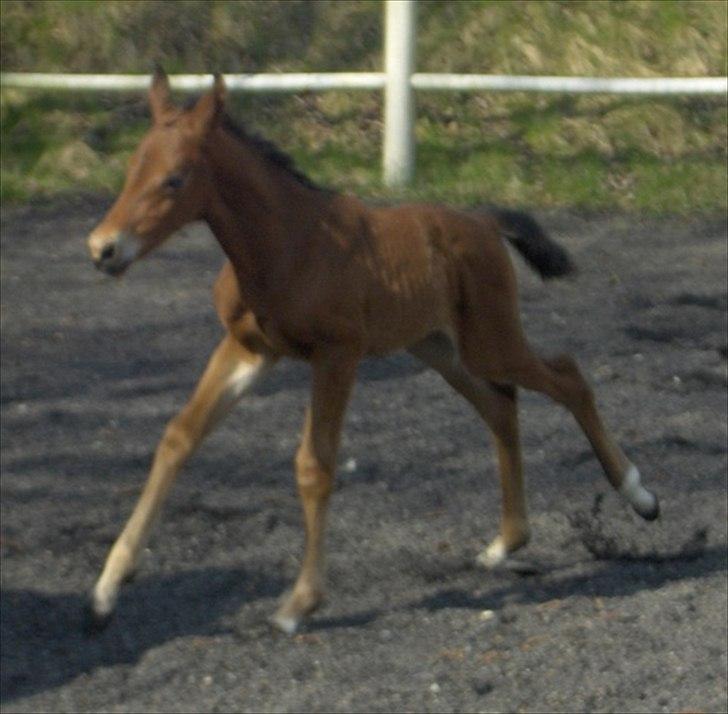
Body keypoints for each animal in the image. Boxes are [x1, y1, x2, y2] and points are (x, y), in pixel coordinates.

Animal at [85, 71, 660, 628]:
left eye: (175, 178)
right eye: (132, 168)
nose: (103, 249)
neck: (288, 244)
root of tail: (485, 223)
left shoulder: (337, 353)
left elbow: (315, 464)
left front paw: (300, 603)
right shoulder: (247, 348)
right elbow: (179, 437)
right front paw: (108, 588)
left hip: (490, 339)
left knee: (566, 376)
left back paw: (639, 495)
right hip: (440, 349)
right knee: (501, 404)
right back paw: (505, 544)